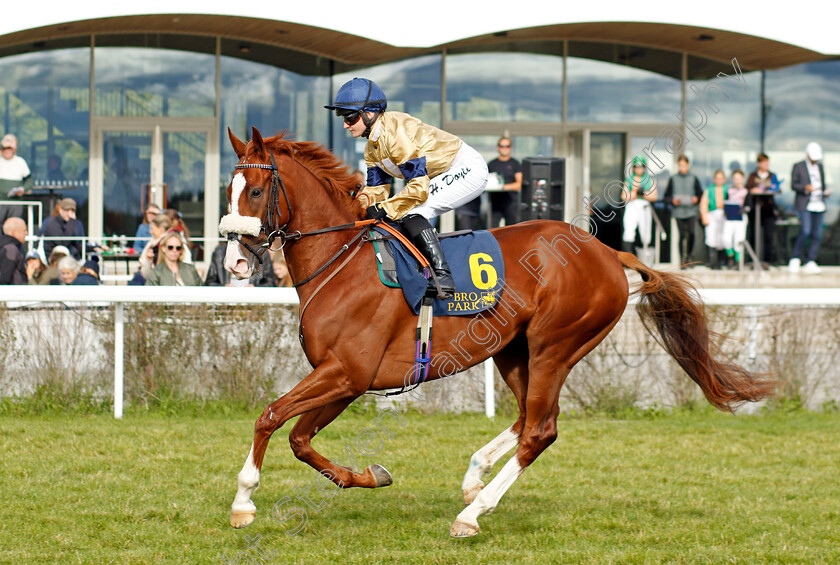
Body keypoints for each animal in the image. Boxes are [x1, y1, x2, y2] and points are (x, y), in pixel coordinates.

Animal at [221, 128, 776, 536]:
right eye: (229, 190)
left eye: (255, 191)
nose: (234, 263)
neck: (342, 262)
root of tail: (608, 251)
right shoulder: (346, 378)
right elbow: (299, 438)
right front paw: (369, 475)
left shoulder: (348, 372)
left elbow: (270, 417)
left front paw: (243, 500)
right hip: (512, 348)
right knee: (529, 414)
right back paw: (474, 476)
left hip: (556, 346)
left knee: (540, 429)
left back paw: (472, 512)